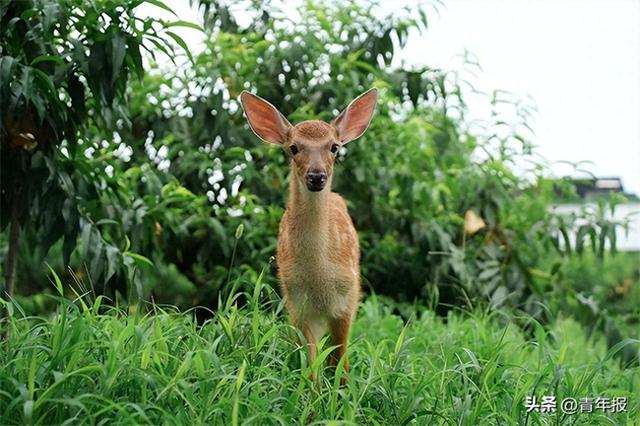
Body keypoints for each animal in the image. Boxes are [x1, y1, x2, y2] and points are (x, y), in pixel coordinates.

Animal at [240, 89, 380, 382]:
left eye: (334, 147)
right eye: (293, 148)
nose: (317, 176)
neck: (319, 281)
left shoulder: (347, 300)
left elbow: (340, 363)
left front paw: (343, 393)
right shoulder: (299, 306)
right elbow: (311, 367)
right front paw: (313, 395)